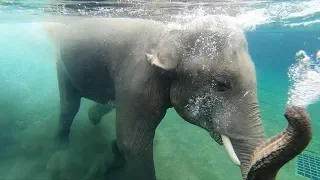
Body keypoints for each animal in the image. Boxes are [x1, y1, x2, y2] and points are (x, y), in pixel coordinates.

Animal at [41, 15, 312, 180]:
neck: (170, 35)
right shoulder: (137, 79)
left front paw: (112, 158)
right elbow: (133, 144)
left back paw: (93, 118)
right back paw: (59, 153)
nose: (291, 112)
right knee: (69, 107)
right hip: (62, 66)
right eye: (221, 86)